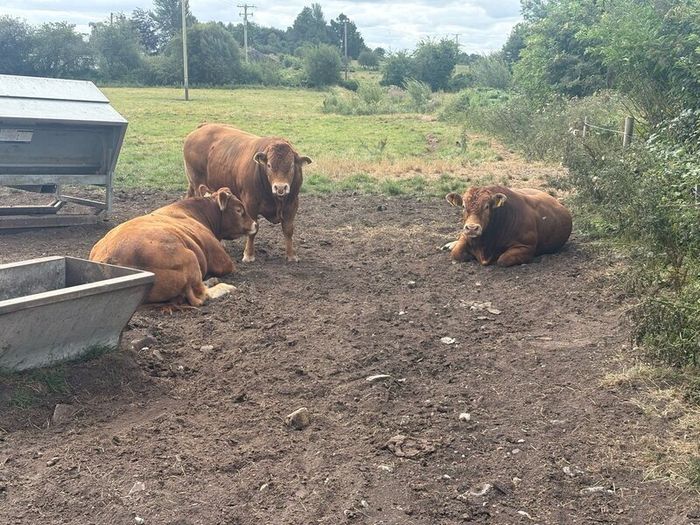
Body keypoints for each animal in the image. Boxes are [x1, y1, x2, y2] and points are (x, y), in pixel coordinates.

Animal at [89, 186, 257, 306]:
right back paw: (224, 286)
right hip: (191, 257)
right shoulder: (222, 260)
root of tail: (109, 259)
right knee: (202, 294)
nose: (255, 224)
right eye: (238, 210)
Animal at [183, 124, 312, 263]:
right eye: (269, 165)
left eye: (292, 165)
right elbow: (253, 230)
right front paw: (249, 254)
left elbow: (288, 229)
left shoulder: (292, 204)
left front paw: (291, 255)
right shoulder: (250, 204)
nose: (280, 187)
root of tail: (203, 126)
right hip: (197, 183)